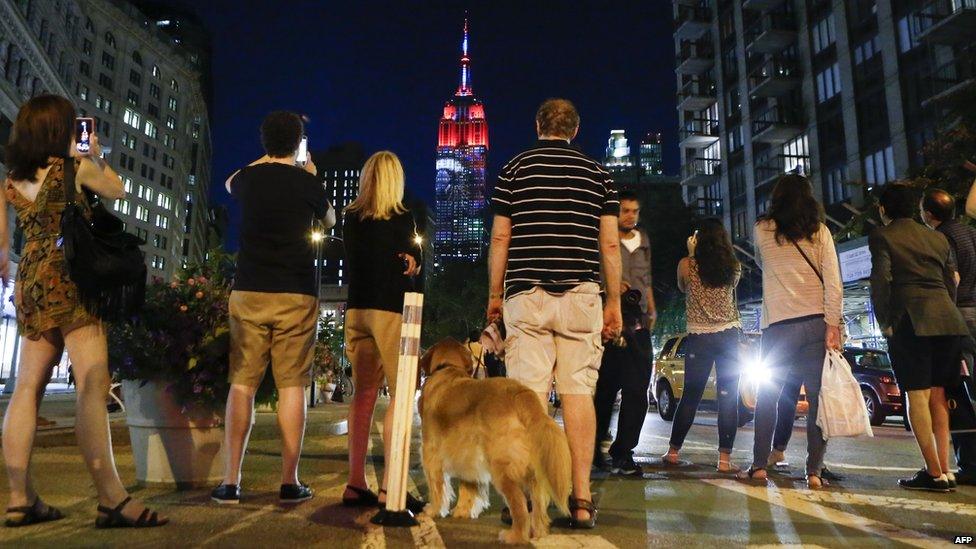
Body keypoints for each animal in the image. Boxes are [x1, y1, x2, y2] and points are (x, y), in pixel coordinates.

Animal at [418, 338, 572, 544]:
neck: (448, 368)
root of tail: (520, 393)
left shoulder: (431, 454)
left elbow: (437, 488)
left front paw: (432, 510)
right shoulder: (468, 458)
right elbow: (468, 487)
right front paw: (463, 511)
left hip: (502, 470)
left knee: (520, 506)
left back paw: (515, 536)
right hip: (532, 472)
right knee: (538, 504)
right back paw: (538, 532)